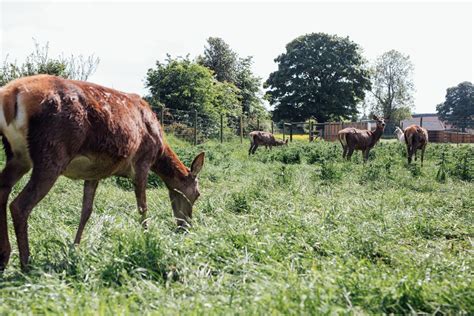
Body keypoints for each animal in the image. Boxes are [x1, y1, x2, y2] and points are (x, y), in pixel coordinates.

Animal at [0, 74, 205, 272]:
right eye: (197, 194)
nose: (186, 226)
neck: (160, 150)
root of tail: (10, 94)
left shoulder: (94, 173)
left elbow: (86, 211)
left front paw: (74, 249)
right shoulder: (142, 163)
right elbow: (142, 207)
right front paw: (147, 240)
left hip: (18, 156)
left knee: (3, 188)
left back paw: (5, 257)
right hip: (52, 152)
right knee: (19, 205)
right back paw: (26, 264)